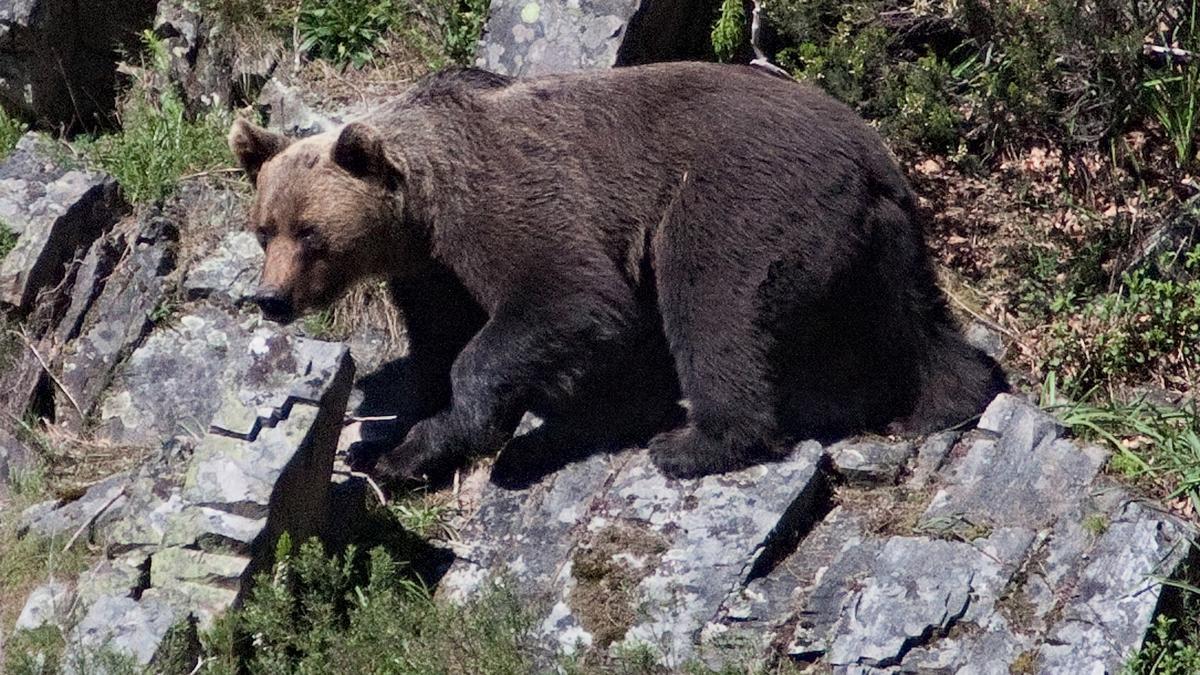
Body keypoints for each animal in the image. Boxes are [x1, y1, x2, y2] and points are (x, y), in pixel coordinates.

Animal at [226, 59, 1003, 478]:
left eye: (310, 233)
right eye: (264, 229)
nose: (271, 298)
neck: (422, 208)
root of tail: (872, 151)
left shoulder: (506, 202)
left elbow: (569, 297)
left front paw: (466, 428)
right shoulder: (430, 271)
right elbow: (437, 345)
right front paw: (395, 445)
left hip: (744, 200)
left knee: (712, 300)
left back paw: (696, 441)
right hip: (882, 240)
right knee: (910, 317)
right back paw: (944, 400)